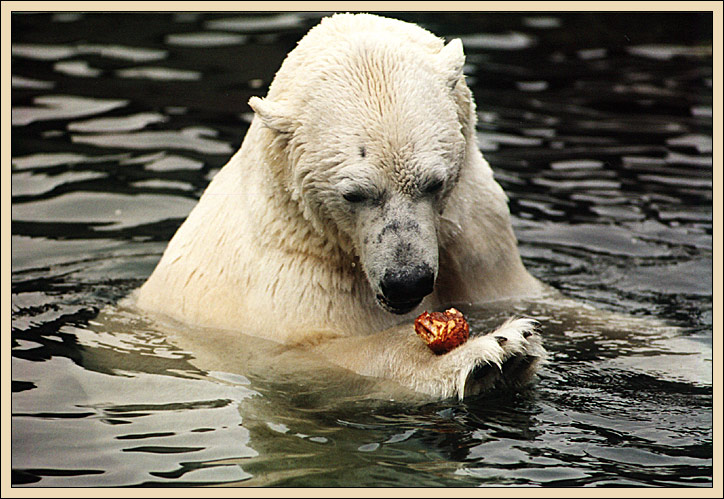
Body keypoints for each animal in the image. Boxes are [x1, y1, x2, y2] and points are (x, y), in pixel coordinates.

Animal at [132, 13, 548, 400]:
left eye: (435, 182)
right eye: (354, 194)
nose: (406, 280)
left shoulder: (476, 229)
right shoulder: (289, 279)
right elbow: (318, 359)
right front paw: (494, 353)